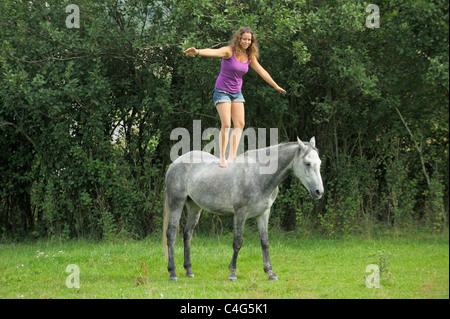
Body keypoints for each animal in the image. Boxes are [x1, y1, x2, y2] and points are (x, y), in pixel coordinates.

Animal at [162, 136, 324, 282]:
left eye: (319, 163)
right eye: (307, 163)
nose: (319, 192)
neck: (259, 175)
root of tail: (174, 164)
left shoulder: (263, 214)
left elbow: (265, 243)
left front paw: (270, 273)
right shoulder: (240, 213)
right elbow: (237, 242)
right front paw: (232, 273)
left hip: (194, 207)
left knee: (187, 234)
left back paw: (189, 271)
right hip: (176, 203)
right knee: (171, 235)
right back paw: (172, 273)